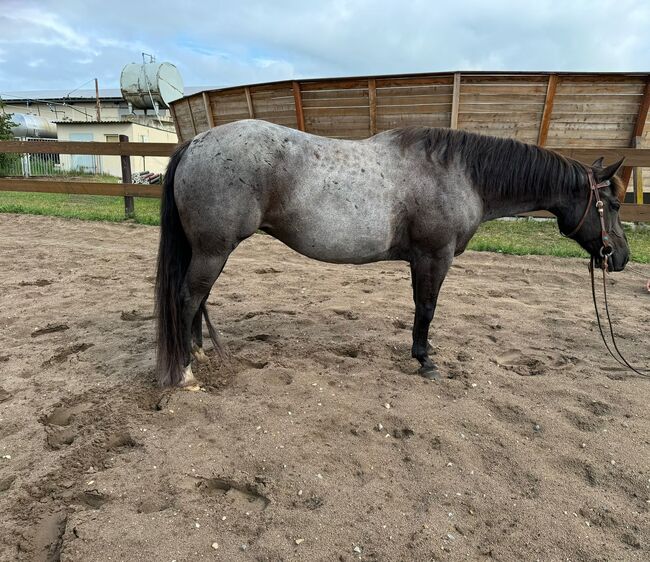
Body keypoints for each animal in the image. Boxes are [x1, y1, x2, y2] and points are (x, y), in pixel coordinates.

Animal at [154, 120, 624, 384]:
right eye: (614, 204)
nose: (619, 257)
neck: (460, 174)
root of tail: (195, 143)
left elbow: (422, 307)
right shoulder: (434, 257)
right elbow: (426, 308)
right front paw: (425, 361)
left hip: (210, 251)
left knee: (198, 299)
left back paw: (197, 352)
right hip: (214, 250)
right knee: (187, 298)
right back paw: (185, 372)